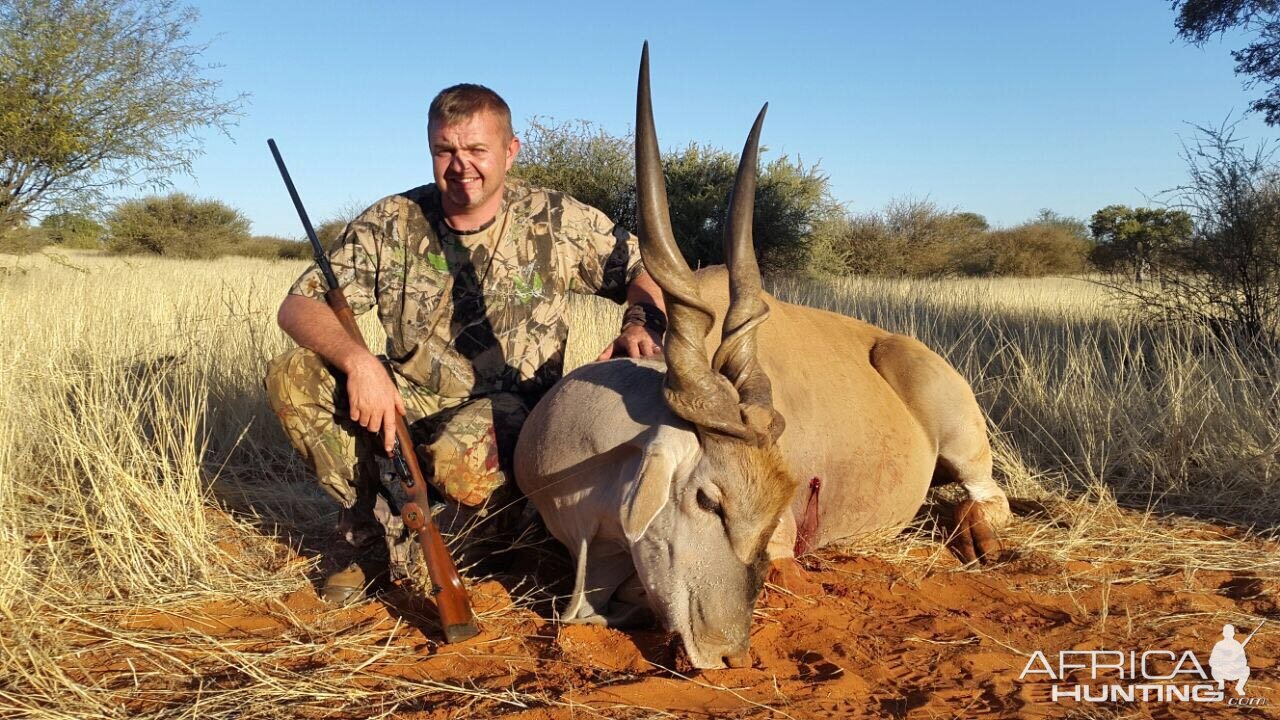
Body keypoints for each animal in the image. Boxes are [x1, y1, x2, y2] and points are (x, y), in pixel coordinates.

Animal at [509, 47, 1008, 666]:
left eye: (774, 505)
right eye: (707, 499)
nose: (729, 655)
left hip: (966, 447)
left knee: (989, 497)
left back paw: (978, 539)